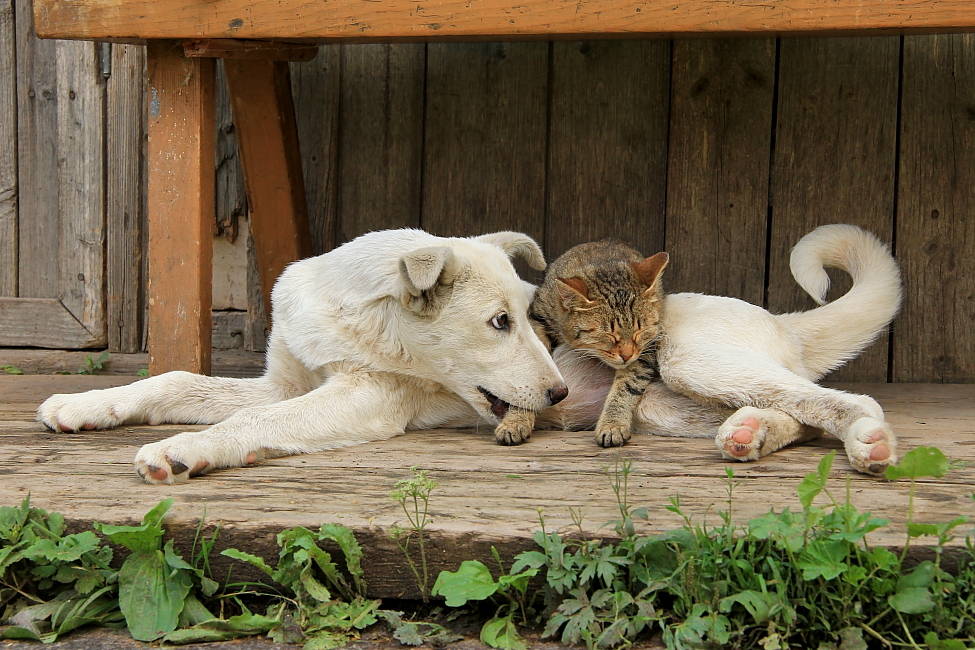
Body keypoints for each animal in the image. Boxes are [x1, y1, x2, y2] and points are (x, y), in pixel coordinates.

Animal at [496, 240, 672, 448]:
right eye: (609, 335)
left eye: (640, 331)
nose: (627, 355)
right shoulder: (537, 320)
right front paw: (515, 420)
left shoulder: (647, 348)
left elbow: (627, 386)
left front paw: (612, 424)